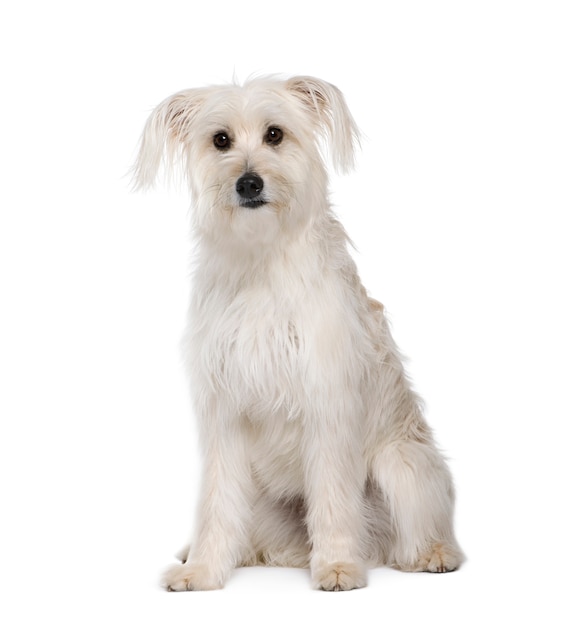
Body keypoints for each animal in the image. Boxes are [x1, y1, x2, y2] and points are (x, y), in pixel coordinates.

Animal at [134, 75, 464, 588]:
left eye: (275, 134)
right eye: (220, 140)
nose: (249, 183)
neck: (262, 260)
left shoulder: (327, 406)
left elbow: (332, 496)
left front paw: (337, 565)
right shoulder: (224, 415)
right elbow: (216, 503)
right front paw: (204, 569)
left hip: (403, 466)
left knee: (413, 531)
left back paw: (431, 553)